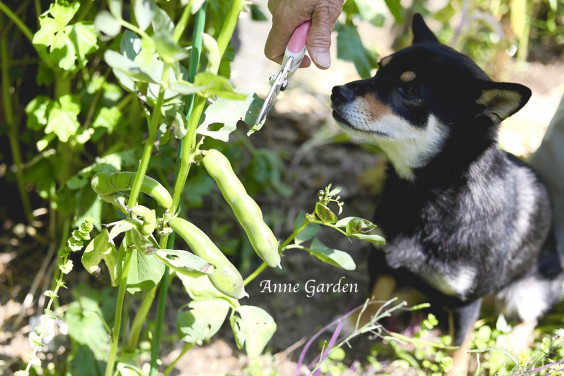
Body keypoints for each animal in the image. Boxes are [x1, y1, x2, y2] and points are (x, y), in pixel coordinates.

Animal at [330, 13, 564, 374]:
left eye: (410, 89)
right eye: (379, 68)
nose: (336, 92)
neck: (427, 194)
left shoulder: (466, 301)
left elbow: (459, 344)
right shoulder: (384, 258)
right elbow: (378, 293)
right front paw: (360, 321)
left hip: (532, 291)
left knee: (528, 320)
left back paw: (511, 348)